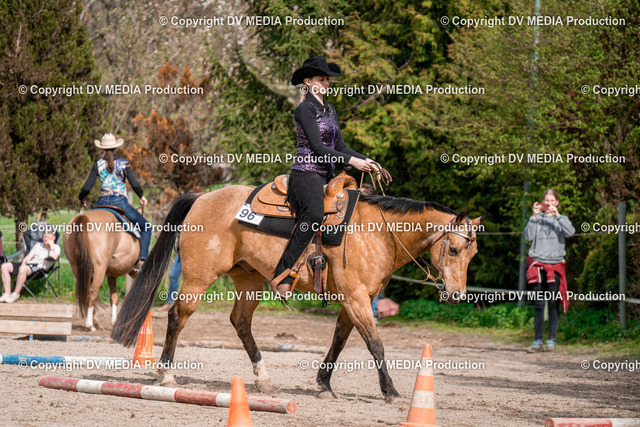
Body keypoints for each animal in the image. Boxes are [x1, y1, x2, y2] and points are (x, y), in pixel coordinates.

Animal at [112, 186, 483, 402]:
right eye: (453, 249)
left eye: (473, 253)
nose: (457, 295)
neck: (378, 232)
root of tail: (201, 198)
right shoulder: (356, 298)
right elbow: (375, 344)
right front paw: (390, 391)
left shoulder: (353, 301)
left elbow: (339, 341)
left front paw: (324, 384)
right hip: (198, 278)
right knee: (177, 316)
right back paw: (166, 374)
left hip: (248, 281)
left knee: (240, 322)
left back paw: (264, 381)